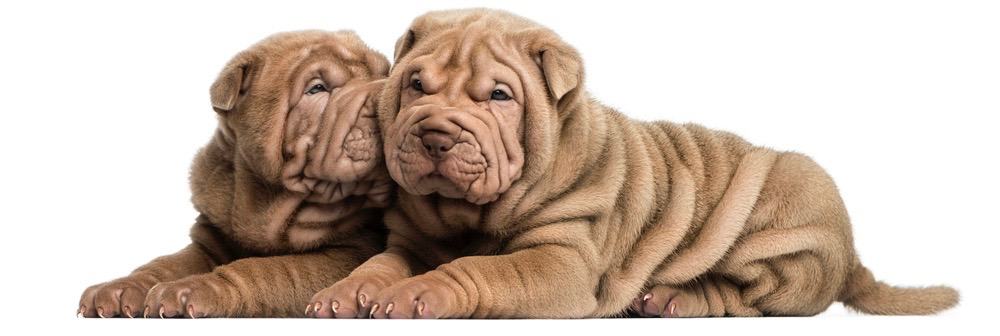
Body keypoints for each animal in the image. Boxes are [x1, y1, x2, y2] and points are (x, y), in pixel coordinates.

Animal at [78, 30, 392, 318]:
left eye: (384, 73)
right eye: (316, 89)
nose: (383, 97)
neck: (263, 202)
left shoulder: (348, 252)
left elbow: (269, 269)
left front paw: (192, 289)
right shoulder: (209, 239)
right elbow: (168, 263)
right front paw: (120, 287)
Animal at [306, 8, 960, 318]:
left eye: (499, 96)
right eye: (416, 84)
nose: (436, 136)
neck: (465, 214)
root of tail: (851, 256)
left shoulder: (562, 261)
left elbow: (482, 271)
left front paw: (417, 297)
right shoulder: (410, 240)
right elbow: (380, 264)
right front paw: (344, 293)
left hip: (785, 226)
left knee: (750, 297)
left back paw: (674, 299)